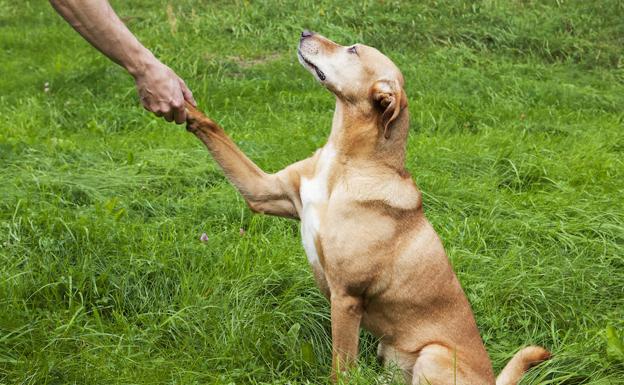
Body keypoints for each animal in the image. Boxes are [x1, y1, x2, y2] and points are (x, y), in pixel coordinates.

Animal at [184, 30, 544, 384]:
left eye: (353, 50)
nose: (304, 32)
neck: (344, 162)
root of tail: (492, 382)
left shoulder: (346, 298)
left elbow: (340, 368)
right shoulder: (264, 191)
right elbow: (215, 129)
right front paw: (183, 105)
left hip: (433, 355)